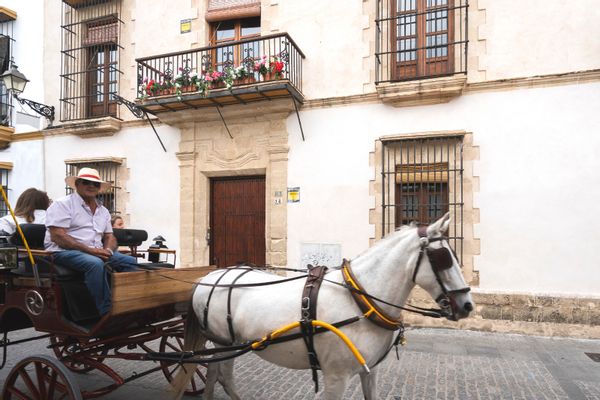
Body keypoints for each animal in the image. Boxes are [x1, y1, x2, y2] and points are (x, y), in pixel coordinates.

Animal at [172, 214, 474, 398]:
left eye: (453, 253)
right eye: (444, 257)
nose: (467, 305)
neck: (360, 301)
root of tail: (207, 278)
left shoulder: (370, 371)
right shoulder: (336, 377)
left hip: (223, 344)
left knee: (213, 372)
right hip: (225, 343)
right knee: (223, 376)